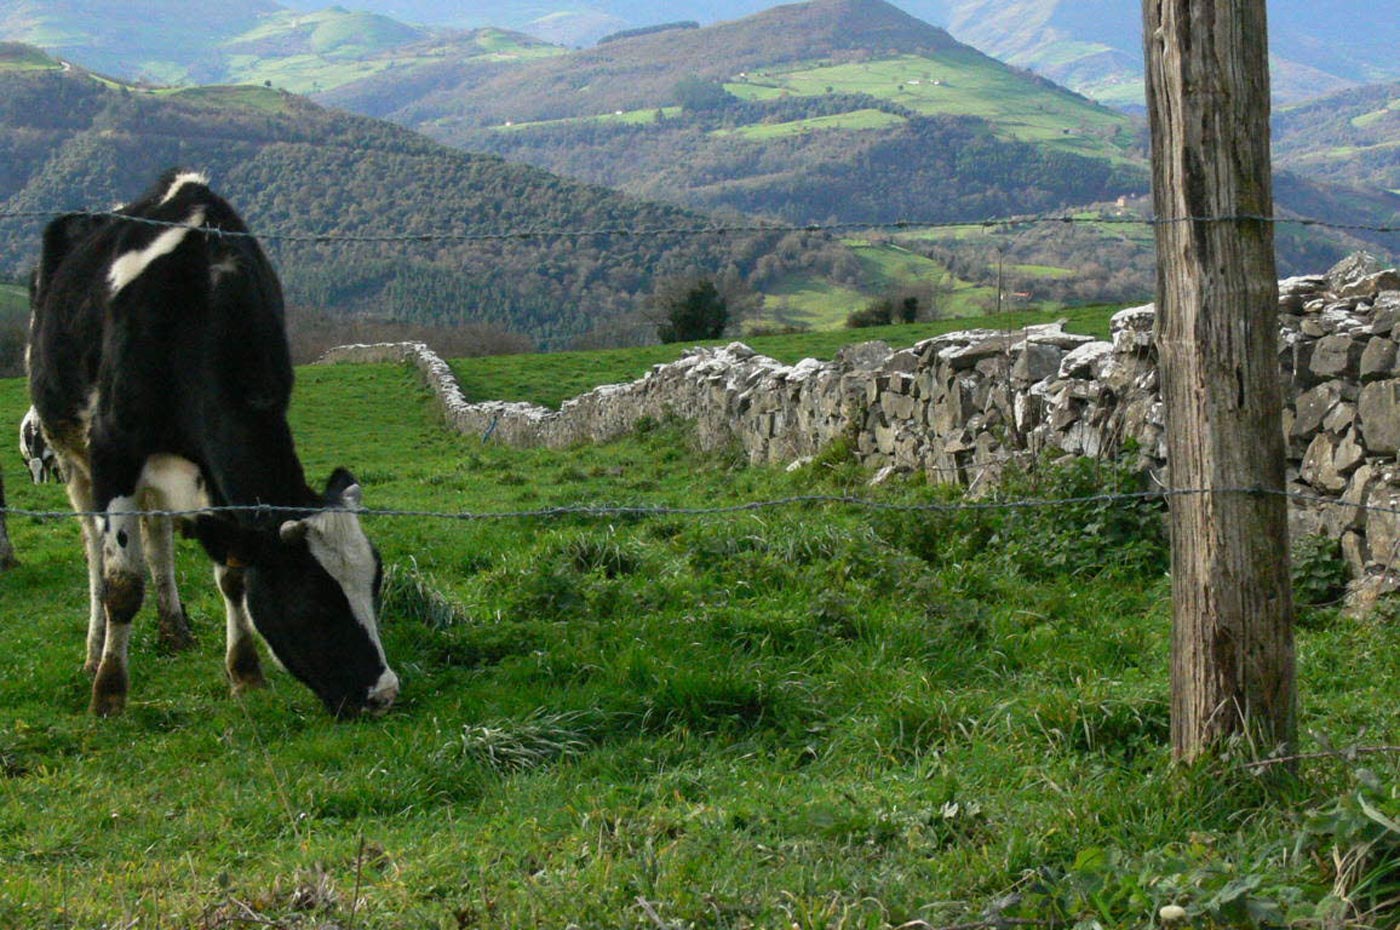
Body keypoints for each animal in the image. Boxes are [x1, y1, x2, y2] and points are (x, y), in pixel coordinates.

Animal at [28, 168, 400, 717]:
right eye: (313, 601)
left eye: (373, 582)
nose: (384, 694)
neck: (201, 298)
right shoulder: (114, 447)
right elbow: (123, 585)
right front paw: (109, 695)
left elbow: (233, 574)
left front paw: (245, 674)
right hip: (70, 453)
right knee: (94, 549)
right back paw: (95, 654)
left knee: (157, 539)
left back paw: (174, 632)